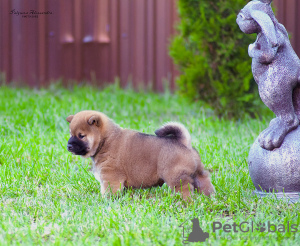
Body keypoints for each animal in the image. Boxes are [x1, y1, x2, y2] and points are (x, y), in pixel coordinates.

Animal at [67, 110, 214, 199]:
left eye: (81, 135)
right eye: (71, 134)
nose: (68, 145)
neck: (106, 141)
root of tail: (183, 142)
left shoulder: (110, 177)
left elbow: (109, 192)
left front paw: (105, 201)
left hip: (176, 177)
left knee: (185, 189)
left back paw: (183, 201)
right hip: (198, 172)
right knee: (205, 181)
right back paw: (210, 197)